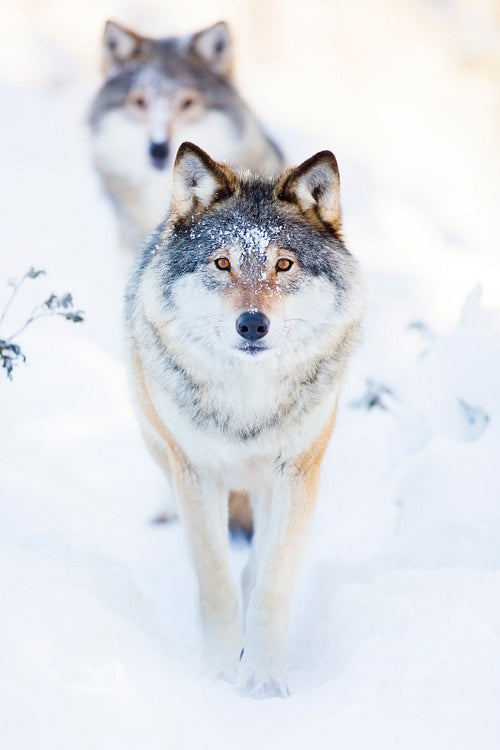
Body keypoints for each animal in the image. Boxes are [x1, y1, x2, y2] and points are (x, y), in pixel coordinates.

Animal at [125, 142, 364, 700]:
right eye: (222, 263)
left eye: (283, 263)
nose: (252, 324)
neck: (247, 403)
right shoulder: (195, 474)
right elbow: (213, 581)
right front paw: (216, 672)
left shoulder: (296, 475)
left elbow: (270, 582)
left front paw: (261, 678)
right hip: (160, 447)